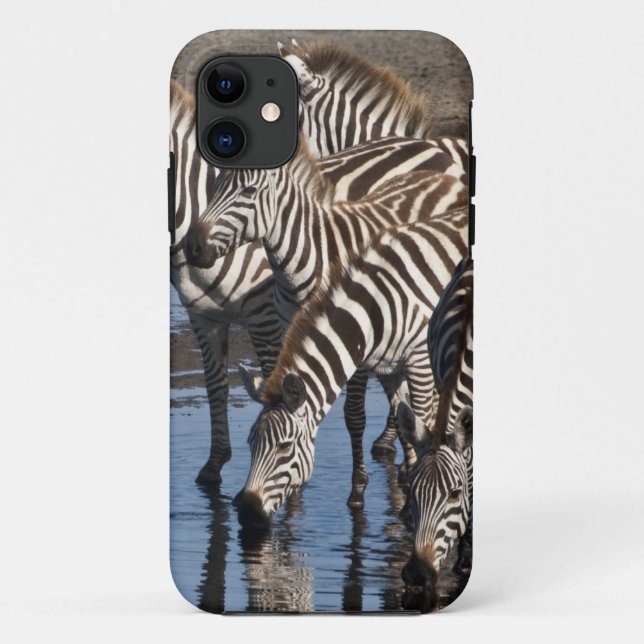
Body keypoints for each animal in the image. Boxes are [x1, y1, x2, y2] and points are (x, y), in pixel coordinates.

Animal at [171, 79, 467, 485]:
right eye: (214, 184)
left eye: (247, 193)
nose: (195, 247)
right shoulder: (207, 318)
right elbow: (218, 389)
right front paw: (215, 468)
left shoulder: (280, 319)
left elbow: (344, 410)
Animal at [230, 208, 469, 529]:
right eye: (250, 442)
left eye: (284, 446)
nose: (247, 512)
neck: (373, 310)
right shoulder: (386, 368)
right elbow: (401, 425)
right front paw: (407, 496)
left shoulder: (418, 358)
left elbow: (421, 419)